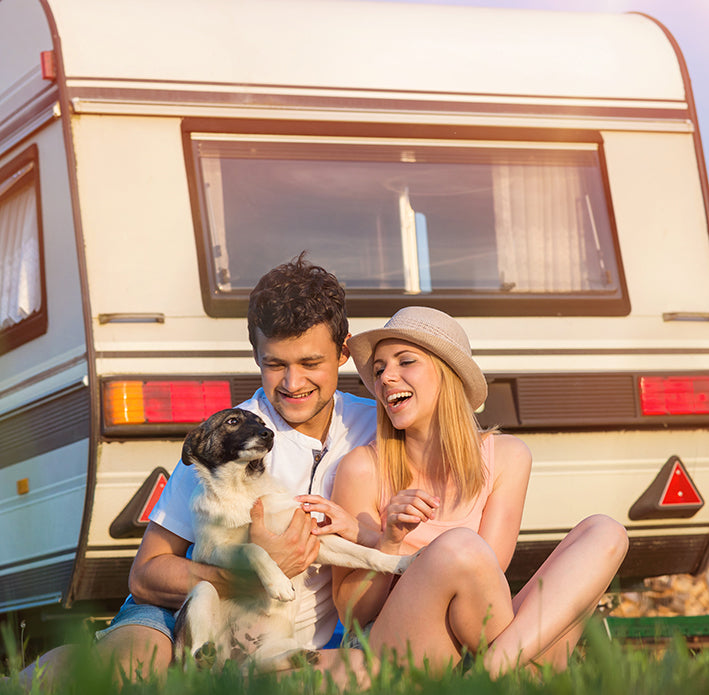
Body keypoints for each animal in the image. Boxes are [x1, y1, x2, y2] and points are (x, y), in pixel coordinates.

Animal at [173, 408, 414, 676]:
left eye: (261, 422)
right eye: (232, 421)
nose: (268, 434)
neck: (242, 489)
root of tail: (233, 661)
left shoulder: (315, 541)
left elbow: (366, 554)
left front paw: (401, 562)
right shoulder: (213, 552)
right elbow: (254, 548)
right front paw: (279, 583)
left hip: (271, 649)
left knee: (262, 664)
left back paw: (299, 657)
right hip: (203, 592)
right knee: (193, 664)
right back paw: (204, 656)